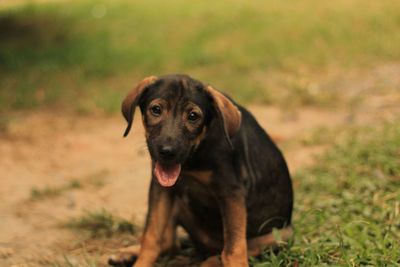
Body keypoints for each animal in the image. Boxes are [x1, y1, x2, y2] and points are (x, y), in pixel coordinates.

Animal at [109, 75, 294, 267]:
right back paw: (126, 254)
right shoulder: (161, 188)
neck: (193, 160)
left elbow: (234, 249)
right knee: (169, 243)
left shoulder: (231, 193)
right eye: (156, 110)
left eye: (193, 116)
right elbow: (151, 237)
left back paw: (210, 261)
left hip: (282, 235)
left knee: (229, 250)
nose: (167, 151)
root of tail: (204, 246)